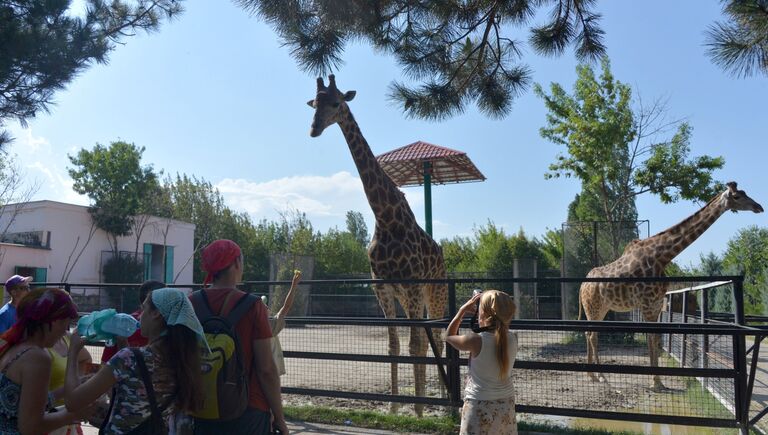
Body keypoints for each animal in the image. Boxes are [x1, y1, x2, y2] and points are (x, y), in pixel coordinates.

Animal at [308, 75, 450, 416]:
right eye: (314, 103)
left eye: (336, 103)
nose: (314, 129)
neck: (384, 216)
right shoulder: (382, 287)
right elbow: (394, 345)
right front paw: (395, 408)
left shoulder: (410, 285)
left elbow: (413, 345)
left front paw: (418, 412)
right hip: (414, 296)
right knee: (429, 339)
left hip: (434, 290)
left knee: (437, 336)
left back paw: (442, 403)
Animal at [584, 181, 760, 392]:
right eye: (736, 196)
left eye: (744, 193)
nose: (759, 207)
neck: (662, 256)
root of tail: (583, 285)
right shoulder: (647, 304)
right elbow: (652, 338)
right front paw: (655, 382)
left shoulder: (656, 303)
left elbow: (655, 338)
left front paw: (658, 382)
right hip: (593, 307)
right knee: (592, 335)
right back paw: (602, 378)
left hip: (601, 308)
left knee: (589, 333)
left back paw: (592, 376)